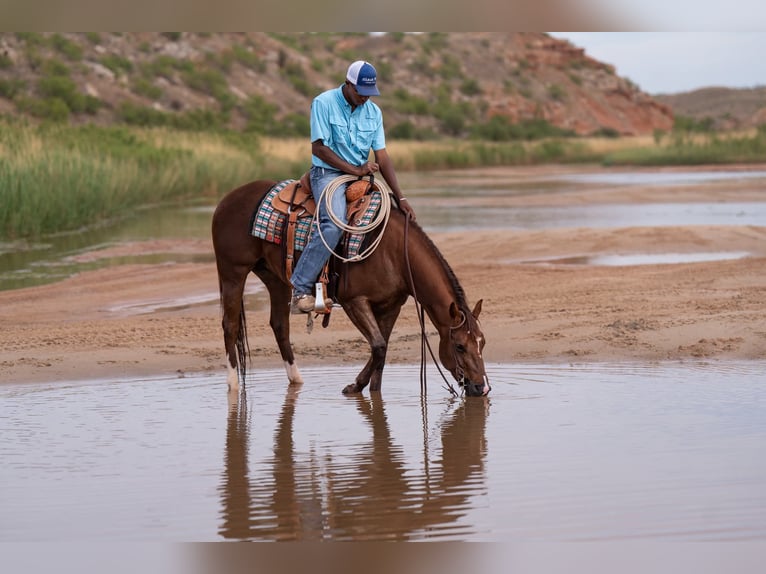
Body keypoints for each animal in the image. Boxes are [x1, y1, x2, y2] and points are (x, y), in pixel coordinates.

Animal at [211, 178, 491, 397]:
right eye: (459, 346)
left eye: (483, 342)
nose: (482, 388)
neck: (395, 252)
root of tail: (227, 199)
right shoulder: (354, 301)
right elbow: (378, 346)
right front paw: (354, 386)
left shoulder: (391, 305)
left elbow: (382, 351)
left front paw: (372, 392)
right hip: (233, 272)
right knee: (230, 325)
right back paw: (233, 384)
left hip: (274, 278)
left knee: (279, 325)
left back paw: (297, 381)